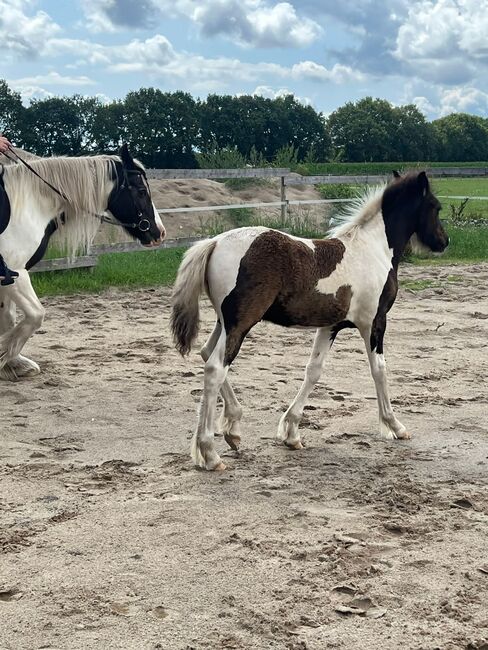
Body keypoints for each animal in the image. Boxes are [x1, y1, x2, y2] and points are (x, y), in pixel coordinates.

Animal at [0, 145, 166, 380]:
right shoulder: (15, 273)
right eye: (142, 191)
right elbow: (35, 315)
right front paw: (5, 356)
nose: (160, 232)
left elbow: (9, 317)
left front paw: (13, 364)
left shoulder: (10, 277)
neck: (29, 204)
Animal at [173, 170, 450, 468]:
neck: (373, 250)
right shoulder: (374, 322)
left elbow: (313, 371)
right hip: (241, 323)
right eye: (435, 207)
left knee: (206, 352)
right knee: (216, 368)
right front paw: (394, 426)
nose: (444, 241)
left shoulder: (330, 326)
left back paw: (231, 430)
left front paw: (291, 433)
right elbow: (379, 370)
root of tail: (214, 242)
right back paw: (210, 453)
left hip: (224, 322)